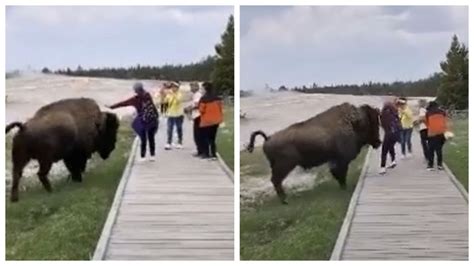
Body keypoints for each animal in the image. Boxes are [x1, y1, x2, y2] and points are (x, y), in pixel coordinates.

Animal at [244, 102, 382, 204]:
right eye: (372, 123)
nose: (379, 142)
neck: (353, 123)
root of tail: (268, 138)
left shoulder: (335, 160)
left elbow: (337, 173)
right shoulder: (341, 160)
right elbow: (341, 173)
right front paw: (344, 188)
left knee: (275, 181)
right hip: (284, 166)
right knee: (276, 180)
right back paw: (285, 200)